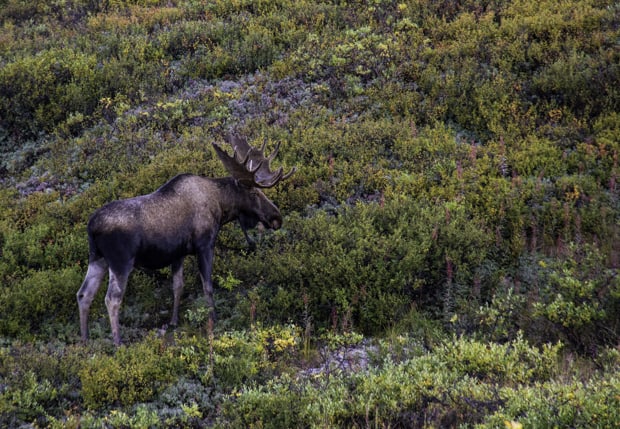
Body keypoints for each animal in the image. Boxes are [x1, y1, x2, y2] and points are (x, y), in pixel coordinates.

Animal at [77, 134, 296, 344]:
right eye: (253, 192)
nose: (276, 218)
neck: (221, 207)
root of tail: (92, 227)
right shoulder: (205, 245)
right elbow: (207, 286)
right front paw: (213, 318)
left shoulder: (178, 254)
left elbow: (178, 287)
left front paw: (174, 321)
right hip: (120, 262)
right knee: (111, 299)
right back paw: (117, 341)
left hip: (97, 258)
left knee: (84, 294)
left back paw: (85, 340)